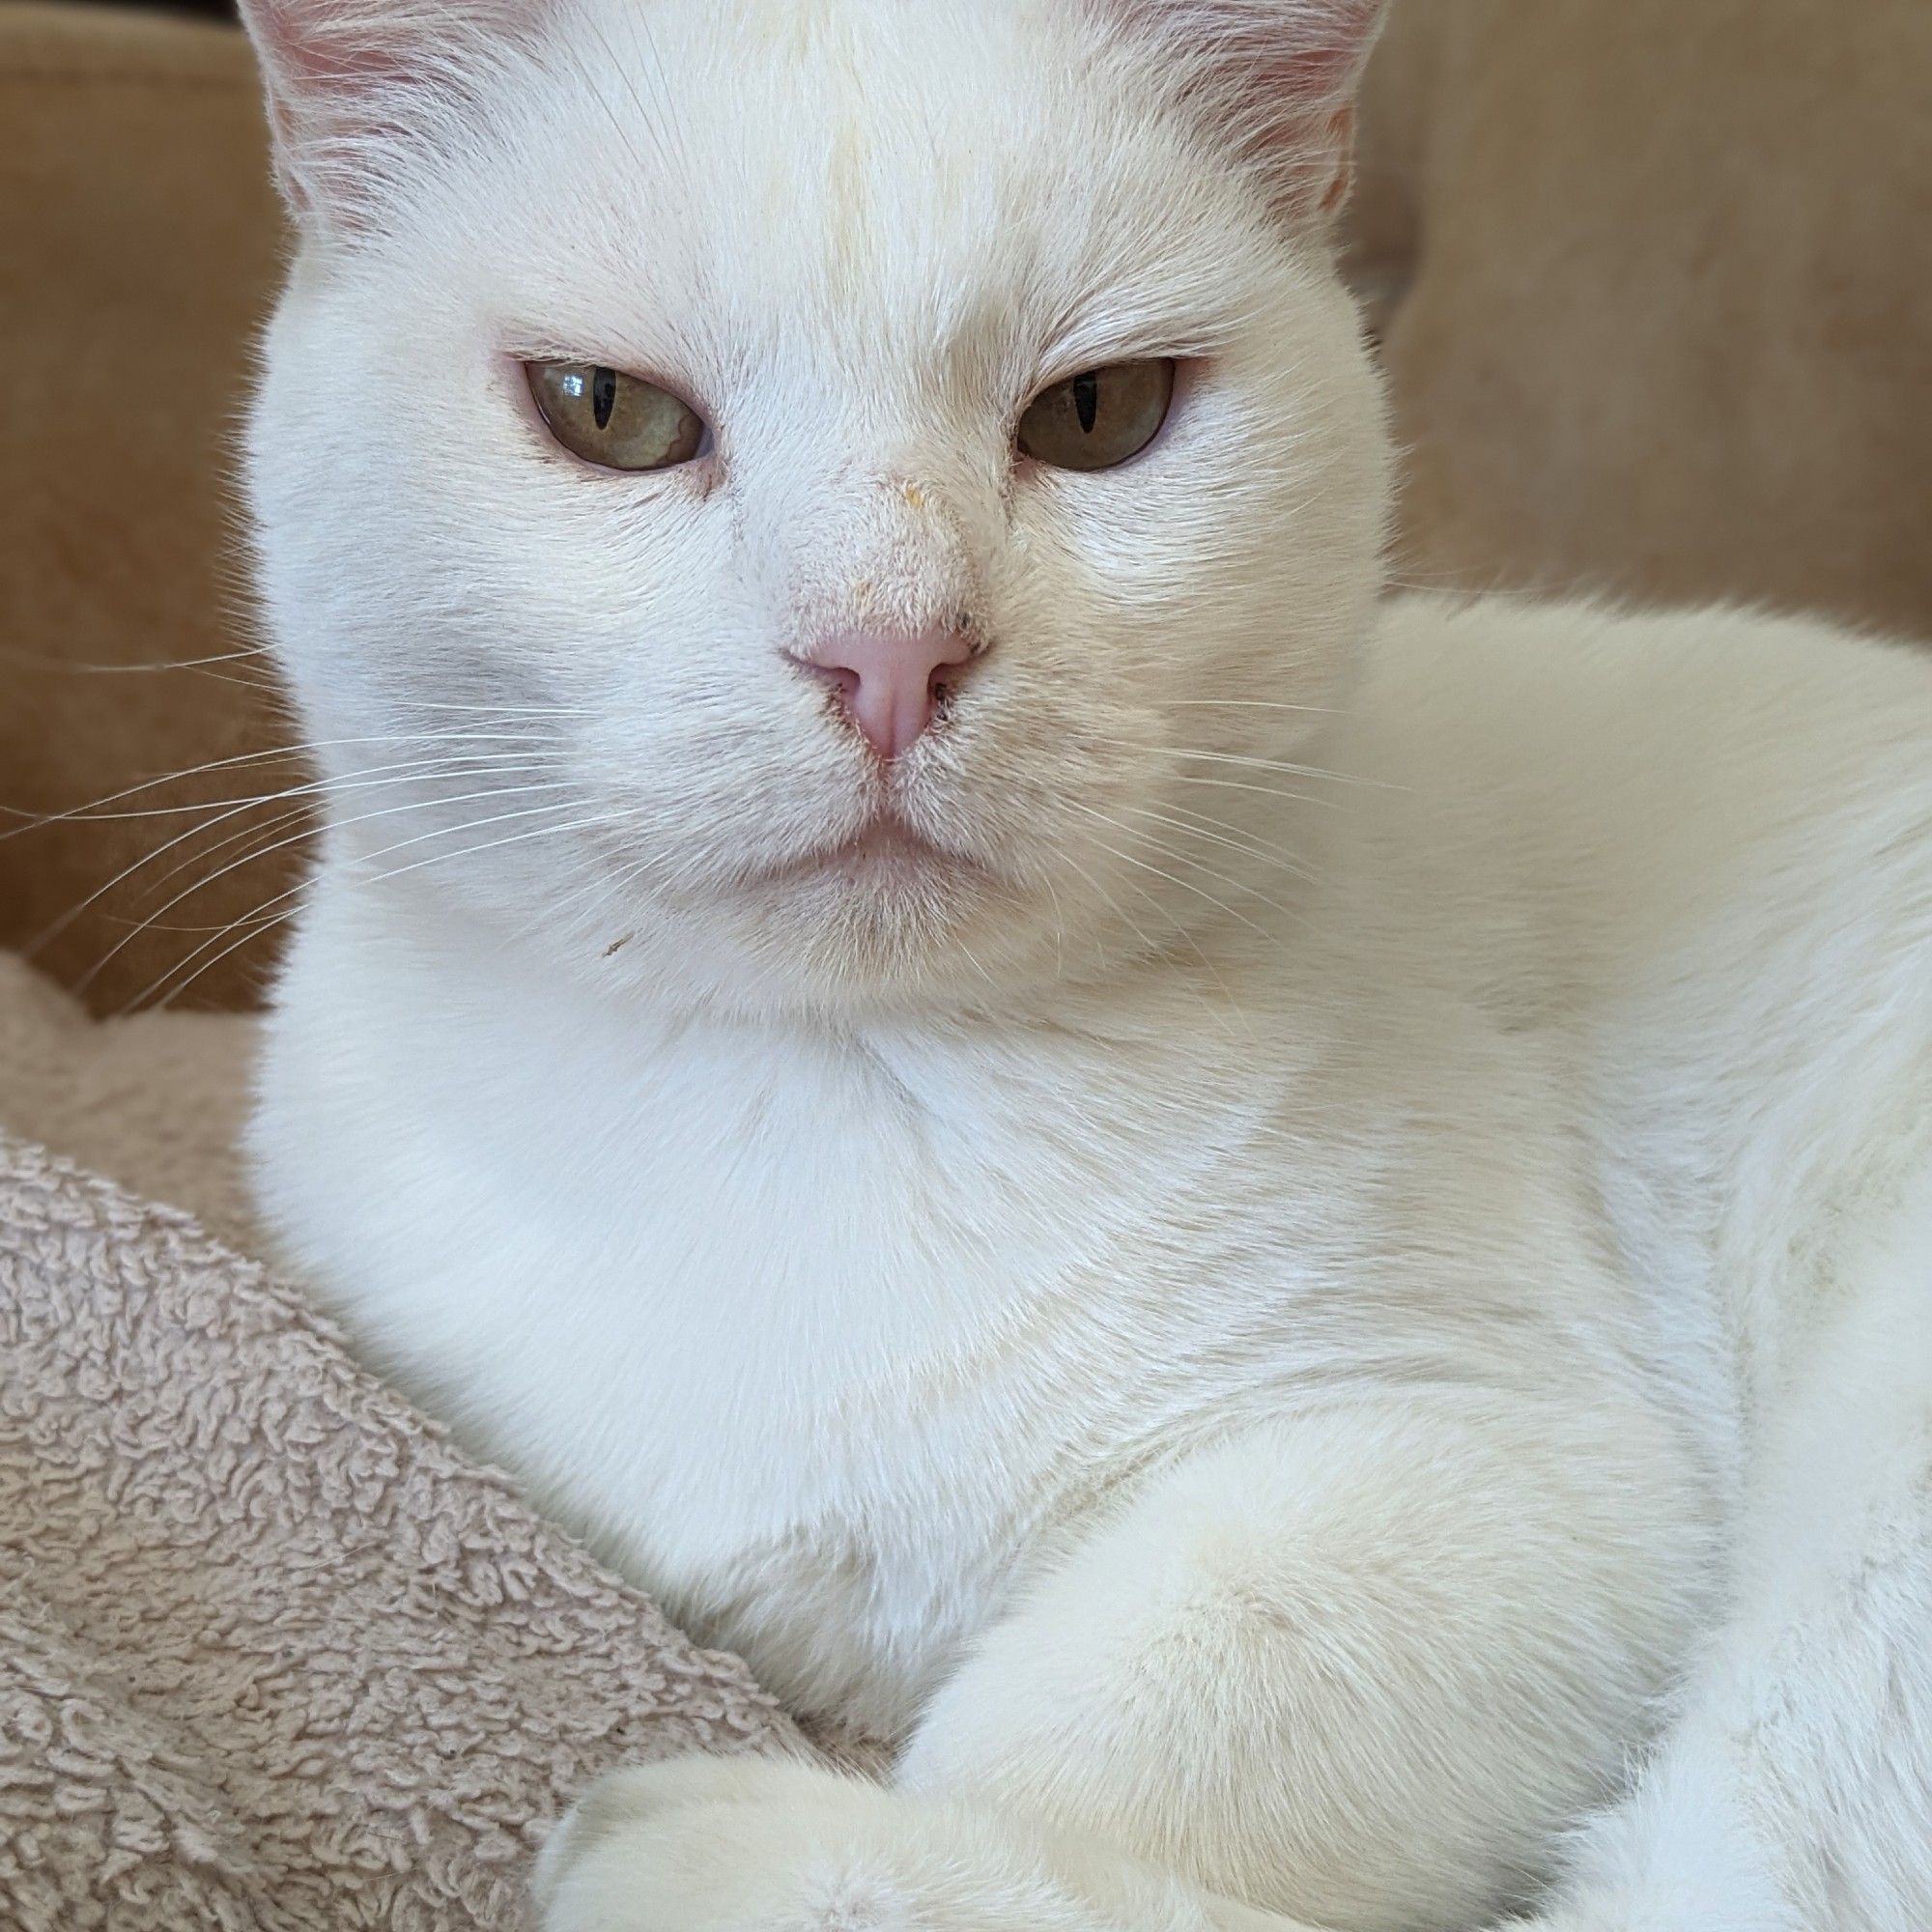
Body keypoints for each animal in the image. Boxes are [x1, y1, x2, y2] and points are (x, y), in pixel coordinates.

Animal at [234, 3, 1924, 1932]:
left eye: (1100, 415)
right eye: (610, 412)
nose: (891, 650)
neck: (831, 1112)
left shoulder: (1492, 1463)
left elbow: (1088, 1735)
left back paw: (669, 1849)